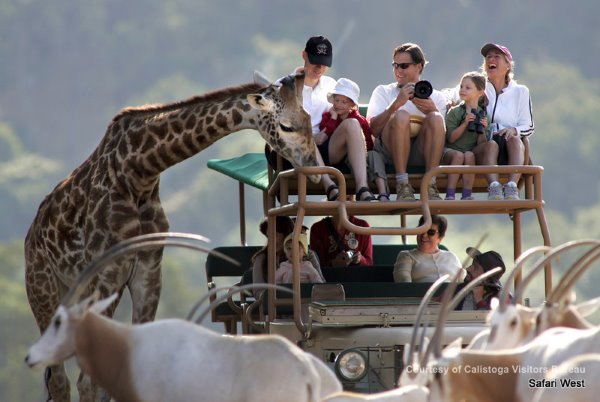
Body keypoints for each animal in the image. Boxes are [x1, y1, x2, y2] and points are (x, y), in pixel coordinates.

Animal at [25, 73, 316, 402]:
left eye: (309, 118)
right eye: (286, 126)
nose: (312, 163)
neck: (139, 173)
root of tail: (31, 235)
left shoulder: (149, 268)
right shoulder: (108, 271)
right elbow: (89, 382)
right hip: (43, 288)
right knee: (60, 380)